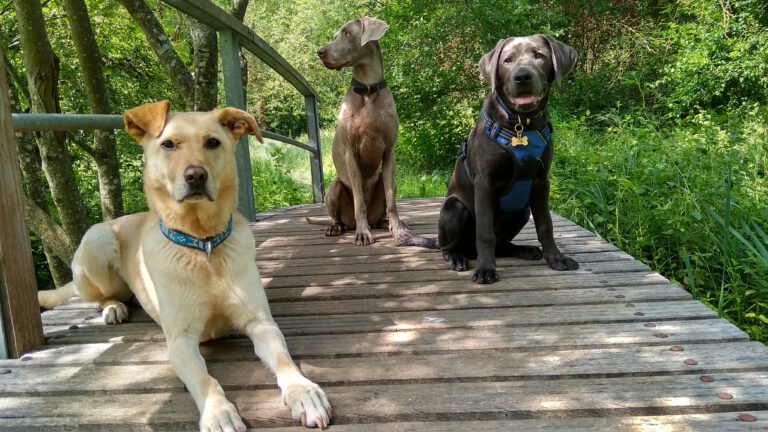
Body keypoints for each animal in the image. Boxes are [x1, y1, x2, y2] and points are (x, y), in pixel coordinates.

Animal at [39, 100, 332, 428]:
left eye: (212, 143)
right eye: (168, 144)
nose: (195, 176)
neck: (203, 246)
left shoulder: (260, 323)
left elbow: (284, 360)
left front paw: (302, 391)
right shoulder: (180, 341)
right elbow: (205, 380)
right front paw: (218, 412)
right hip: (97, 240)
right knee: (101, 294)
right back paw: (113, 306)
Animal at [316, 17, 412, 246]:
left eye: (347, 33)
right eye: (335, 35)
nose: (320, 52)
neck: (368, 90)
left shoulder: (389, 152)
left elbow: (392, 201)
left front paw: (398, 230)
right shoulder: (350, 153)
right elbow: (359, 200)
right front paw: (362, 233)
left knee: (380, 211)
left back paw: (385, 223)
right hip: (334, 187)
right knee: (339, 218)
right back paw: (336, 227)